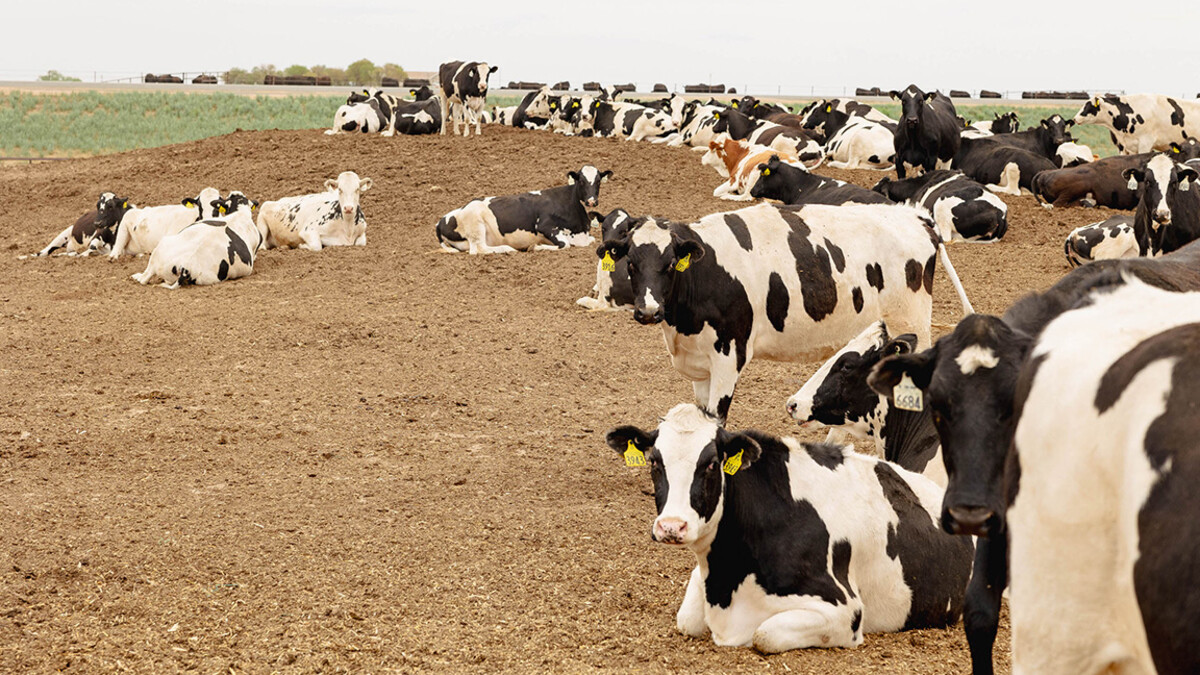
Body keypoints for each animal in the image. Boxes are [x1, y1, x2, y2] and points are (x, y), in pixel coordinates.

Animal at [435, 165, 611, 254]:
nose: (591, 201)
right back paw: (508, 249)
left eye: (598, 181)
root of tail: (441, 220)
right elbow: (564, 244)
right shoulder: (544, 225)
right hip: (476, 225)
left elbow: (591, 240)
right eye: (581, 181)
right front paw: (535, 247)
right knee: (479, 249)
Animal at [597, 201, 973, 420]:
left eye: (670, 263)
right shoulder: (700, 366)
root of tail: (915, 215)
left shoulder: (729, 355)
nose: (648, 311)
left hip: (911, 323)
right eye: (631, 263)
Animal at [607, 404, 973, 652]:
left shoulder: (844, 609)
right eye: (655, 462)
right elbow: (687, 620)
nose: (671, 526)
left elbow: (764, 635)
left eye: (710, 464)